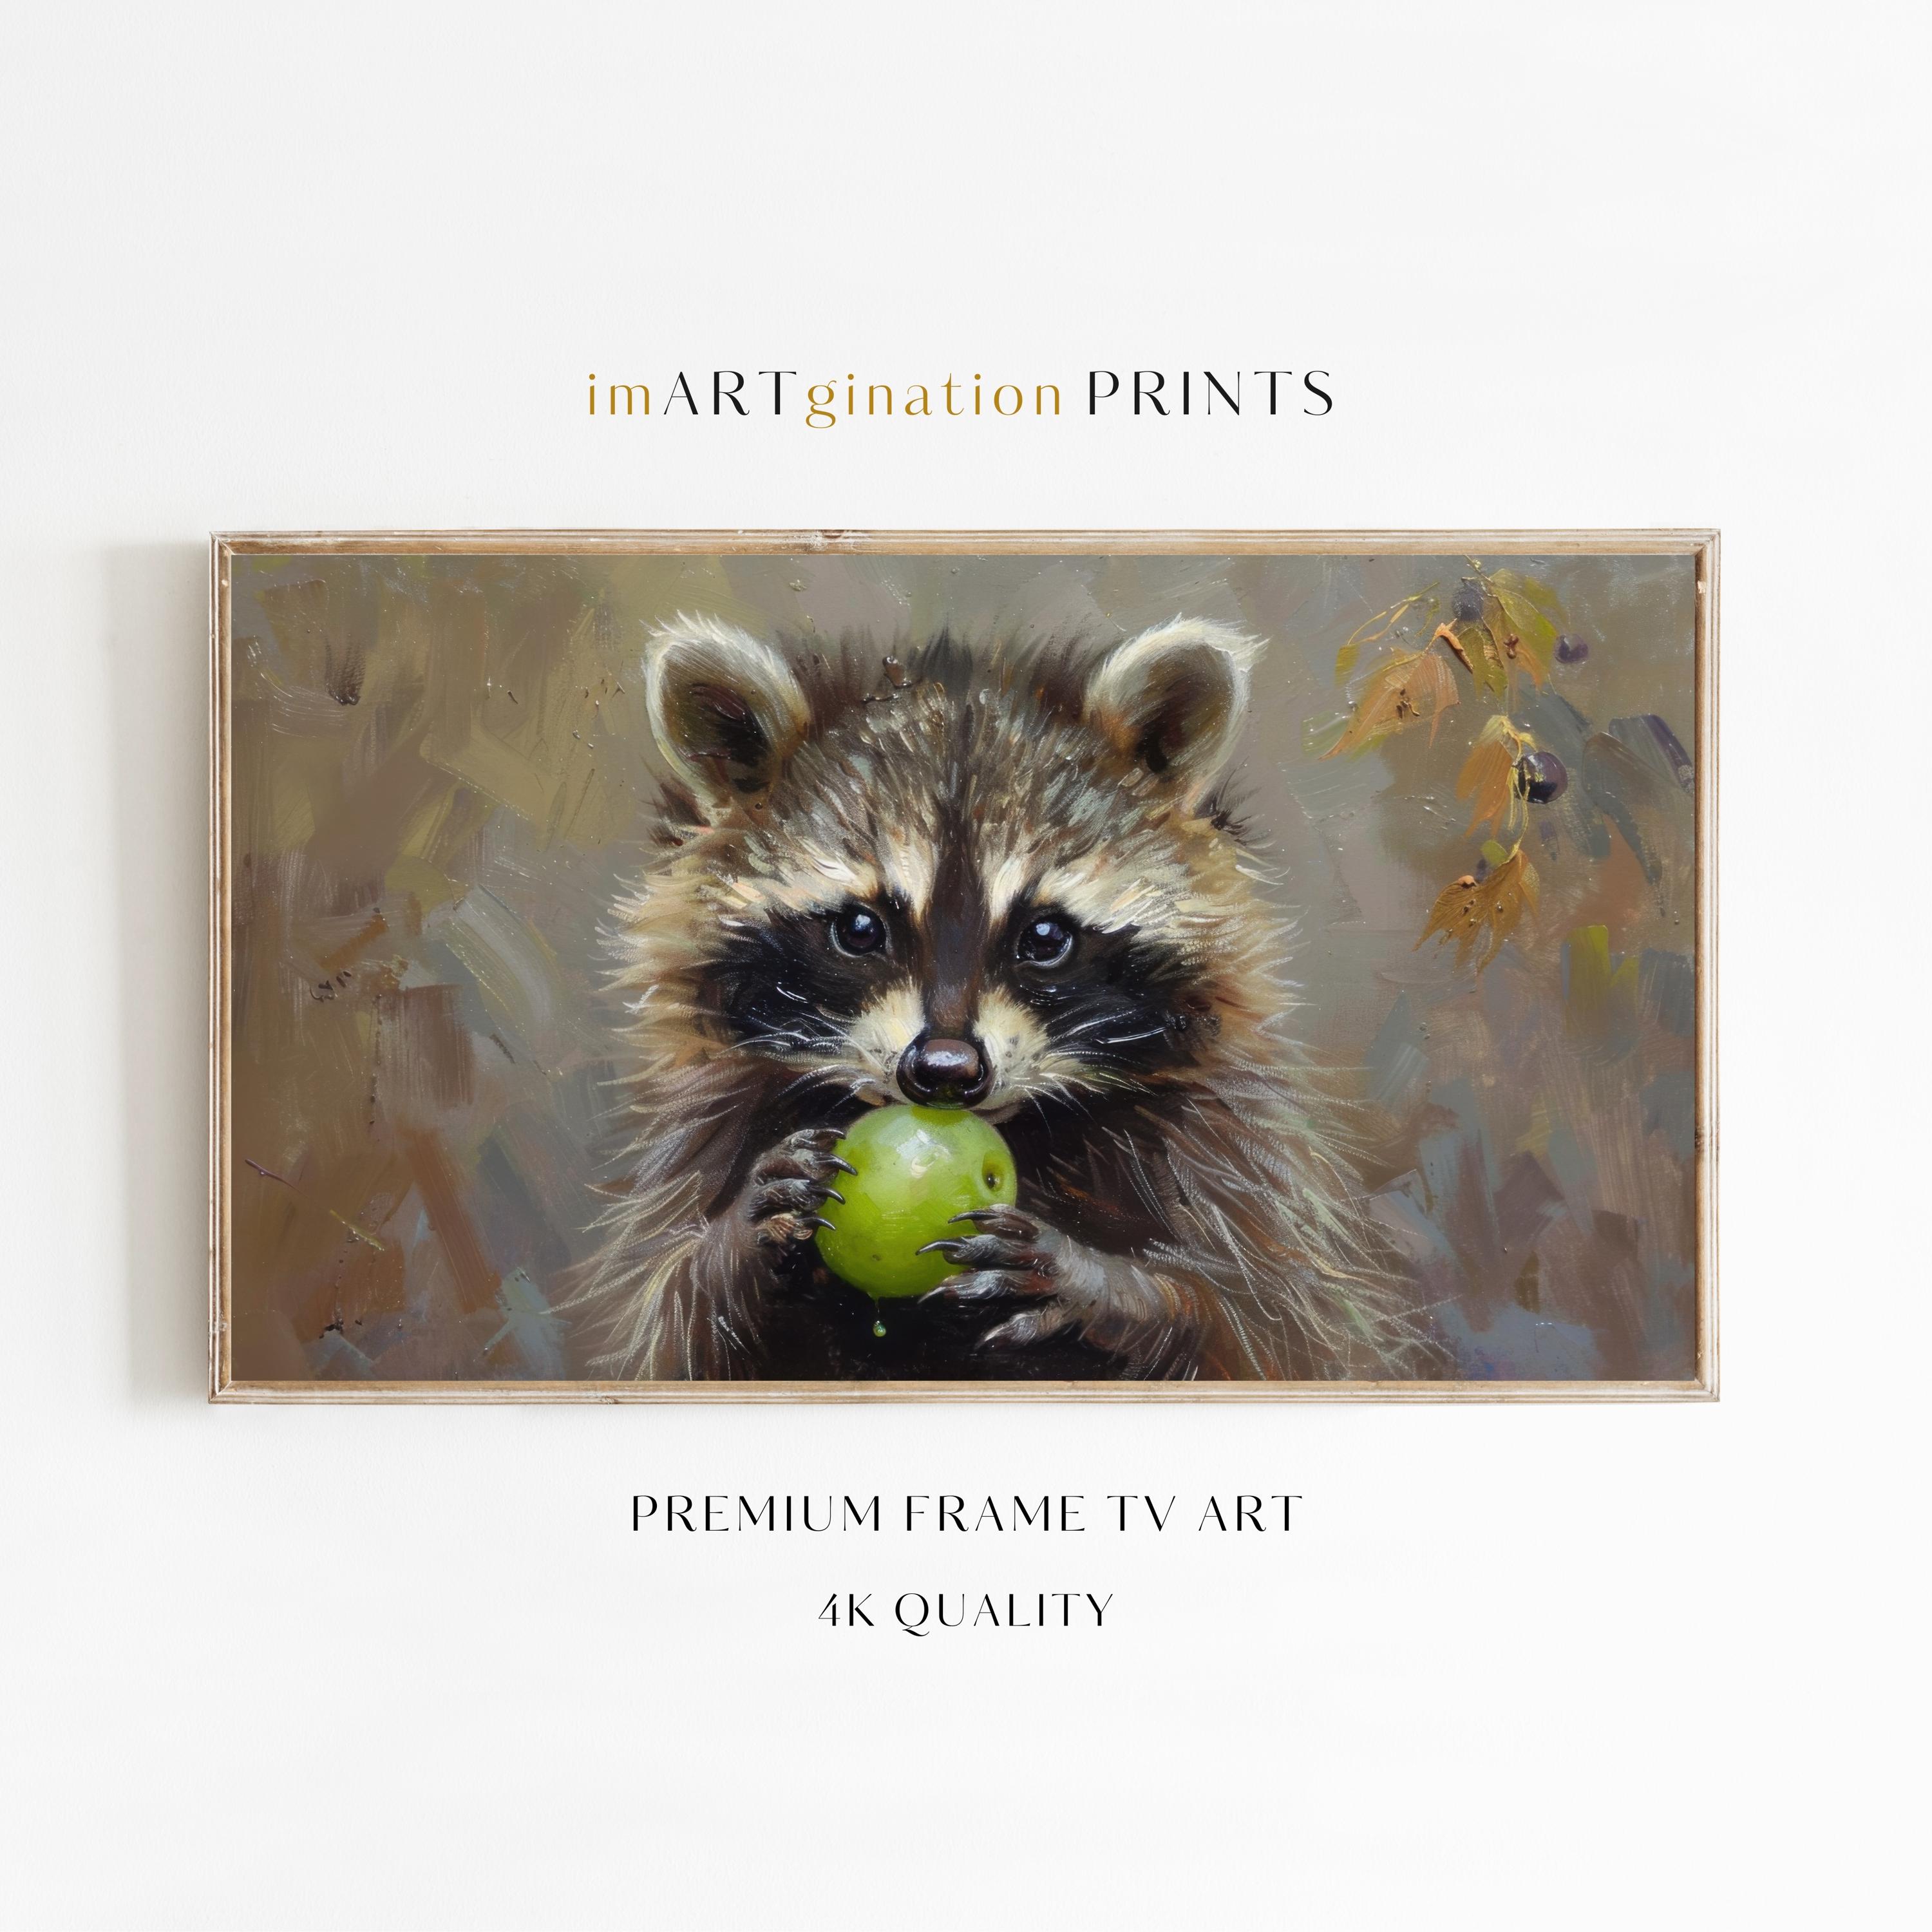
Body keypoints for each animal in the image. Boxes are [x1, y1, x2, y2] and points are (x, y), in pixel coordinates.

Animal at [580, 612, 1426, 1381]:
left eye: (1045, 936)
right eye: (859, 929)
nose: (945, 1072)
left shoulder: (1230, 1158)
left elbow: (1263, 1328)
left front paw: (1110, 1289)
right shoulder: (706, 1137)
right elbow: (675, 1332)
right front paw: (739, 1244)